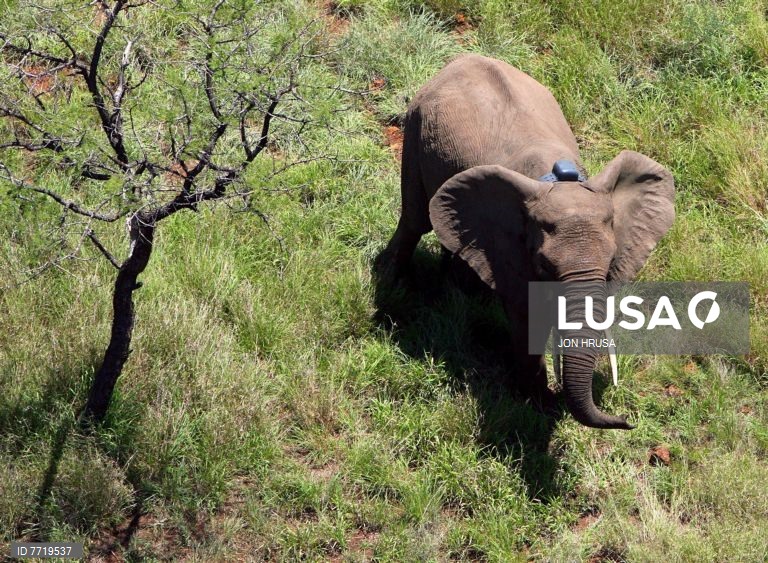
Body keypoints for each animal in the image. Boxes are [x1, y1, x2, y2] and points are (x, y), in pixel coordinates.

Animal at [381, 54, 675, 429]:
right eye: (544, 266)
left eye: (610, 264)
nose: (626, 419)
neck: (557, 182)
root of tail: (461, 59)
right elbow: (526, 313)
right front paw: (537, 402)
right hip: (416, 128)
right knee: (416, 218)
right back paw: (394, 282)